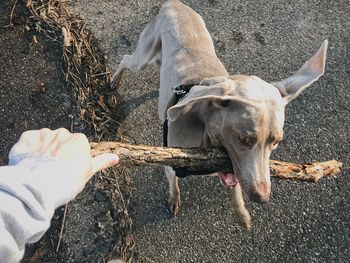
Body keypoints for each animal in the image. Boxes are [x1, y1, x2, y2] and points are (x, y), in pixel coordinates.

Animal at [113, 0, 328, 230]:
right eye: (244, 139)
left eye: (276, 141)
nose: (262, 198)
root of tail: (174, 3)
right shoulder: (170, 165)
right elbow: (173, 183)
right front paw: (174, 199)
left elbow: (236, 187)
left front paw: (241, 213)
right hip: (144, 55)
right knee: (126, 59)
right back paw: (114, 80)